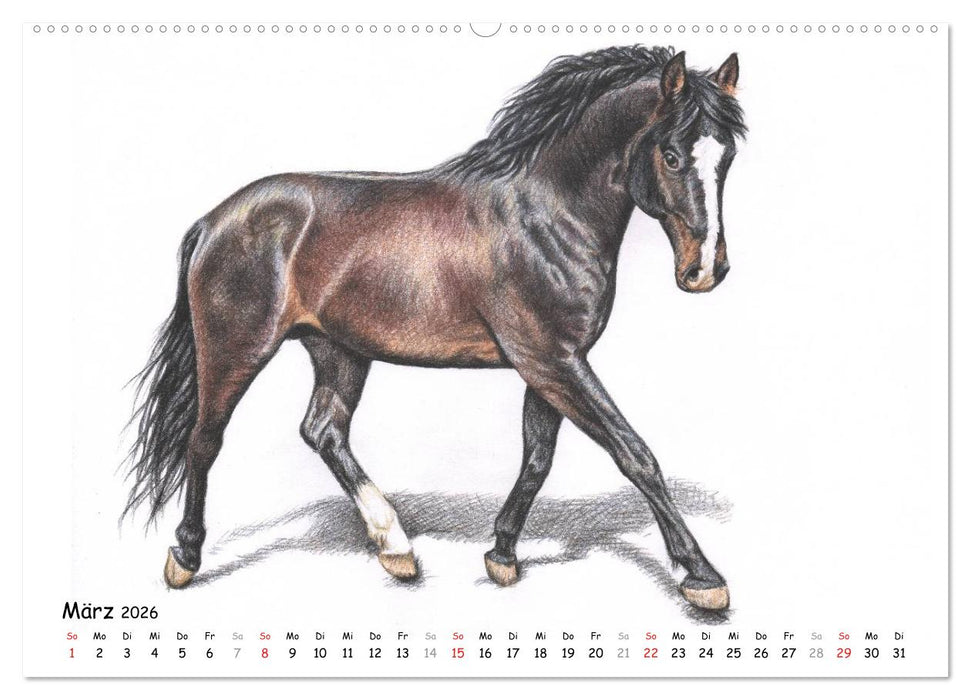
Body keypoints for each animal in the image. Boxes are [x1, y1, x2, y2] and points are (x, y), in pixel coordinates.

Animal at [124, 45, 746, 611]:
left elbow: (538, 460)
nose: (705, 271)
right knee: (205, 440)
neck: (547, 213)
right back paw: (185, 558)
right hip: (235, 349)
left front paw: (502, 554)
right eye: (672, 155)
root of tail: (214, 221)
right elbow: (635, 454)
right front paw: (702, 577)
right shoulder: (554, 361)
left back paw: (396, 548)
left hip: (338, 350)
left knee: (323, 431)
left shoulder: (549, 365)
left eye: (728, 157)